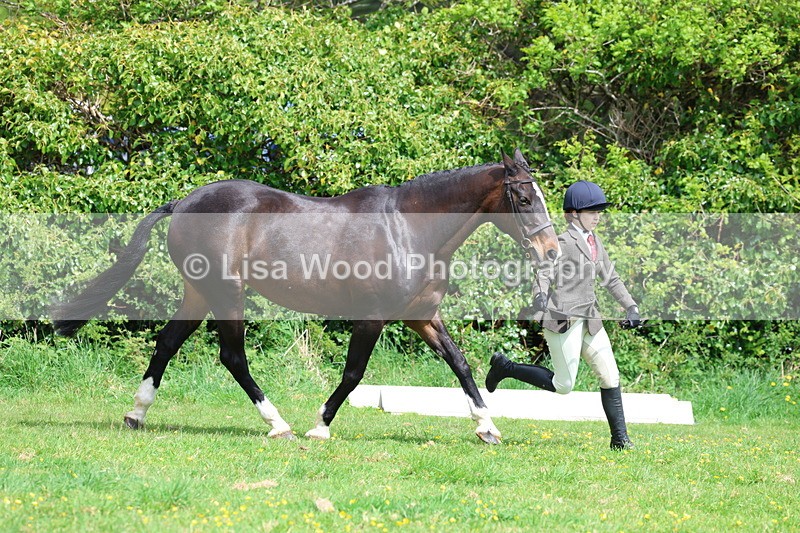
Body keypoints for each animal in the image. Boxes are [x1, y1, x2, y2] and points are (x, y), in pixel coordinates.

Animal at [52, 149, 560, 444]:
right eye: (525, 199)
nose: (551, 251)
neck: (410, 230)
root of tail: (183, 203)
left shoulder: (421, 317)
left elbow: (461, 365)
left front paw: (487, 427)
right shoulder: (372, 317)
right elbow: (354, 373)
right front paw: (320, 426)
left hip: (198, 294)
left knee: (167, 344)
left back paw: (136, 414)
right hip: (226, 293)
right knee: (232, 357)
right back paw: (278, 424)